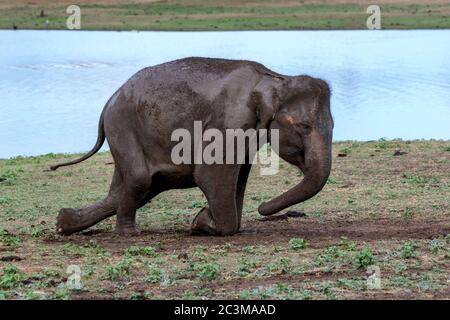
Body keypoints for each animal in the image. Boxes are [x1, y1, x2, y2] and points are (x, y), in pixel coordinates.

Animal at [49, 57, 332, 238]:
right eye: (305, 126)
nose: (263, 207)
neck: (275, 79)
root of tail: (109, 101)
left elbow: (239, 177)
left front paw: (205, 219)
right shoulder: (229, 120)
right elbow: (211, 174)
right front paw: (202, 223)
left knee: (138, 186)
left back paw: (63, 222)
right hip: (122, 126)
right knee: (140, 179)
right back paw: (128, 234)